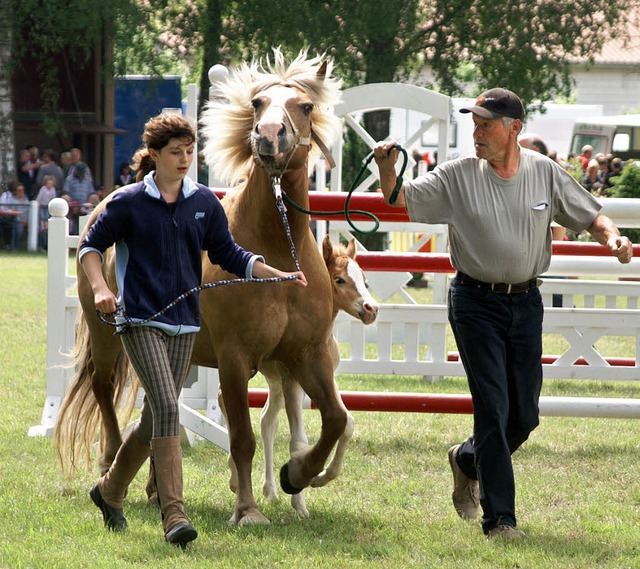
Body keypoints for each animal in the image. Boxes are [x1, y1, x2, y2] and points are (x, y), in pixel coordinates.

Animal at [53, 51, 350, 524]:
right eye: (258, 102)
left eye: (304, 106)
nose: (269, 135)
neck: (276, 257)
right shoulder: (235, 360)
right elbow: (243, 438)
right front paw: (247, 509)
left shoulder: (308, 355)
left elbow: (336, 420)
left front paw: (296, 474)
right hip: (106, 336)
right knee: (104, 390)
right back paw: (110, 464)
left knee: (159, 413)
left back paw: (156, 488)